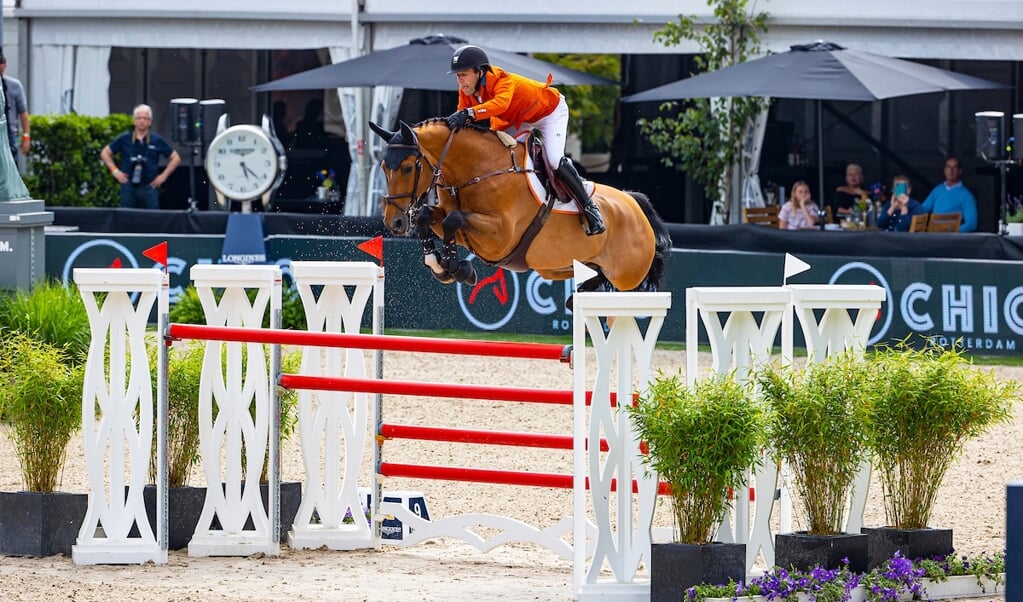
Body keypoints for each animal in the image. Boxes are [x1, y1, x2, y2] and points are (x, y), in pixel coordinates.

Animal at [368, 118, 671, 294]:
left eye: (408, 168)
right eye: (383, 167)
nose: (394, 223)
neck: (476, 170)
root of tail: (634, 202)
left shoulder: (500, 235)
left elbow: (452, 219)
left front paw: (457, 267)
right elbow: (428, 216)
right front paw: (439, 264)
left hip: (628, 277)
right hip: (553, 266)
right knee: (588, 273)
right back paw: (580, 292)